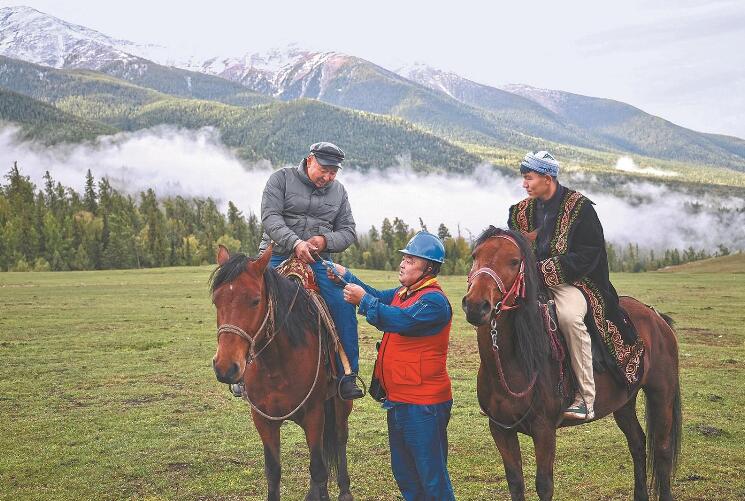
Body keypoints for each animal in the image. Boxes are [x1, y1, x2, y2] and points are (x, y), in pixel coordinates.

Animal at [206, 245, 352, 500]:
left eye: (255, 301)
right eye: (216, 301)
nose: (225, 367)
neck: (276, 364)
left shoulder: (314, 413)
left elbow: (318, 467)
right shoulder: (263, 419)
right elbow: (274, 471)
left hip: (340, 403)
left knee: (340, 438)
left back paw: (344, 491)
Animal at [462, 228, 684, 500]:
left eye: (514, 261)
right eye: (475, 256)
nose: (476, 305)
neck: (511, 363)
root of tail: (656, 317)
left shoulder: (544, 430)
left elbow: (544, 485)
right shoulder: (501, 429)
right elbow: (515, 481)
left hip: (661, 393)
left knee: (662, 451)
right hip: (624, 402)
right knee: (637, 443)